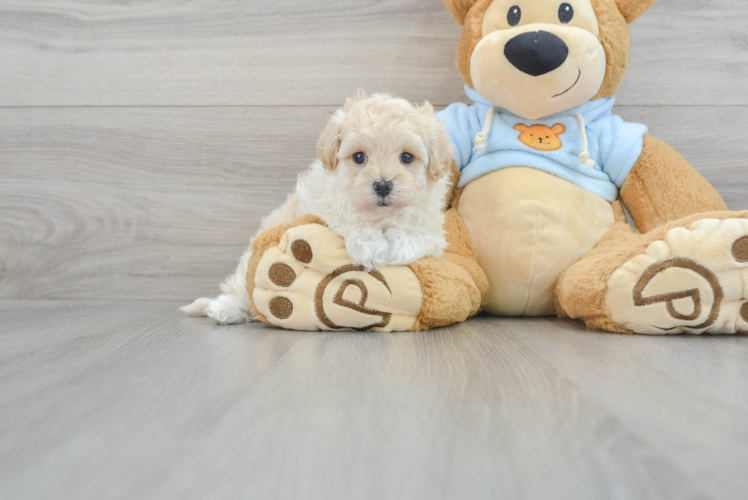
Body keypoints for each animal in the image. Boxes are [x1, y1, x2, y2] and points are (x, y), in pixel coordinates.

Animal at [184, 92, 452, 326]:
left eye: (407, 157)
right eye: (359, 157)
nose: (383, 185)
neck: (380, 216)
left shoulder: (431, 223)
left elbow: (416, 230)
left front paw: (401, 244)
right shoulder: (322, 204)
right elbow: (347, 216)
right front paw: (369, 243)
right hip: (245, 269)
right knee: (241, 289)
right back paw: (225, 309)